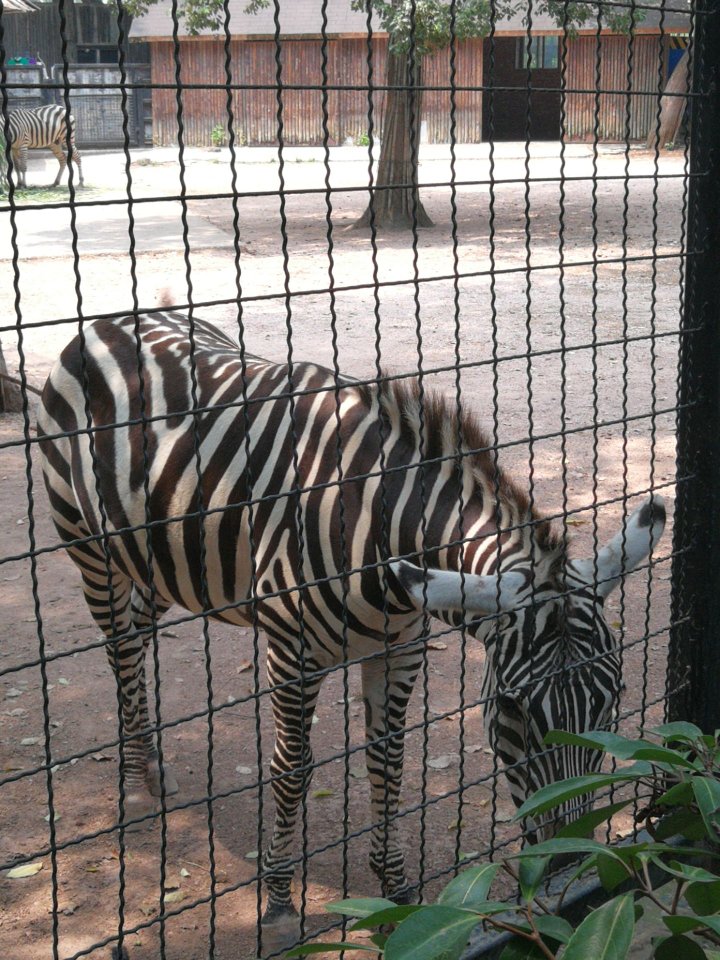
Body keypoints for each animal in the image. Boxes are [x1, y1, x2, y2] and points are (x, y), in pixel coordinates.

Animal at [35, 314, 664, 952]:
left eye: (613, 698)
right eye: (512, 709)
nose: (570, 870)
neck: (381, 532)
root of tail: (122, 319)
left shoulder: (401, 648)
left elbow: (388, 760)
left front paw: (395, 888)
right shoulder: (291, 653)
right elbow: (292, 768)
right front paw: (279, 900)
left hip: (157, 556)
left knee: (137, 636)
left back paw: (149, 762)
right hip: (88, 545)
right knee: (121, 648)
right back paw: (134, 783)